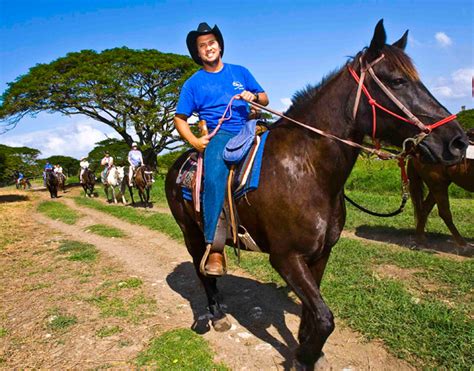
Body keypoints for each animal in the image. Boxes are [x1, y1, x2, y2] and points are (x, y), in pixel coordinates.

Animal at [163, 21, 466, 370]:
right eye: (398, 81)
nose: (457, 141)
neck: (306, 170)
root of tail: (179, 164)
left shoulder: (320, 254)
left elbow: (312, 313)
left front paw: (305, 350)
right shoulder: (285, 257)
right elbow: (324, 318)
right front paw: (303, 358)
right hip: (190, 232)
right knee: (202, 272)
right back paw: (216, 314)